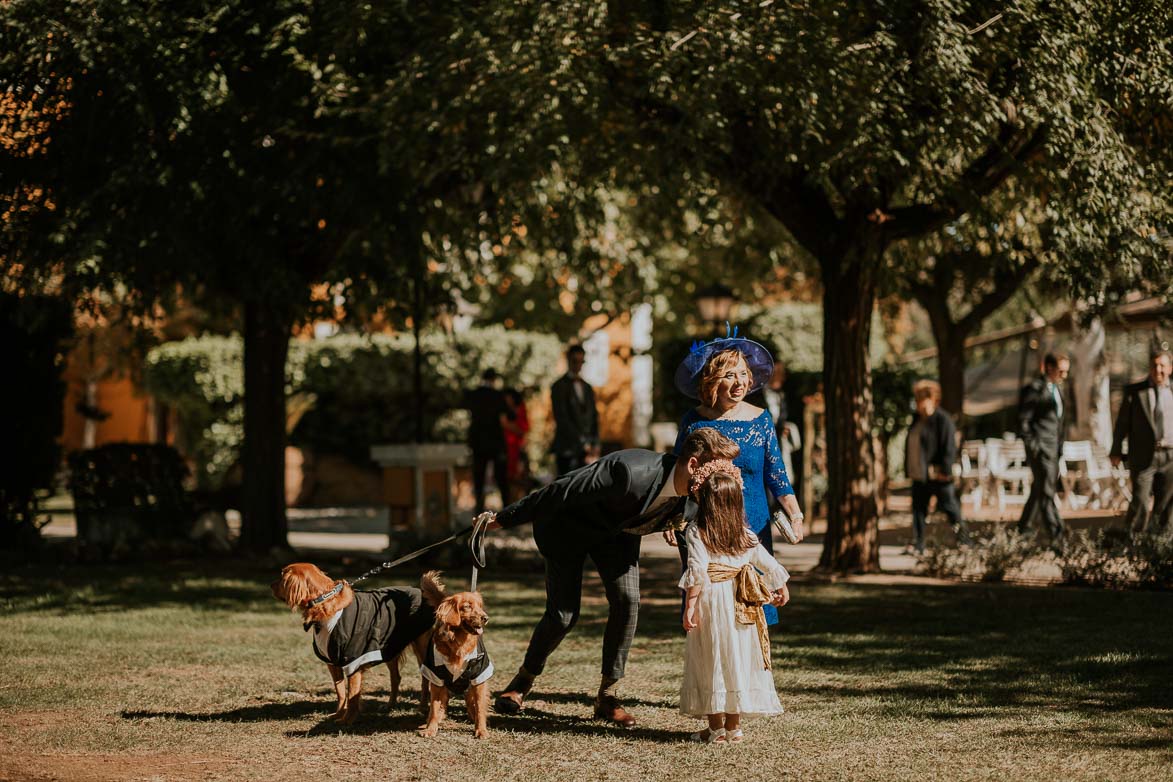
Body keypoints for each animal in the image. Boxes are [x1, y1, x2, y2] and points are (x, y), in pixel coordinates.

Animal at [272, 565, 434, 726]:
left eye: (282, 576)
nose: (271, 585)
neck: (323, 600)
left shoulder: (353, 661)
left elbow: (352, 695)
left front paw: (347, 719)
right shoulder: (332, 662)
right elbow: (340, 692)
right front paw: (338, 714)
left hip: (422, 649)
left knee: (425, 679)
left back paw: (422, 707)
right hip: (389, 648)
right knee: (396, 677)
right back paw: (389, 705)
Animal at [417, 572, 490, 736]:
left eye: (480, 606)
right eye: (467, 606)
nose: (485, 618)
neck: (459, 642)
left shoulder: (479, 677)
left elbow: (480, 707)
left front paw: (481, 730)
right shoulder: (436, 678)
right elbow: (434, 708)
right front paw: (430, 729)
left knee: (471, 703)